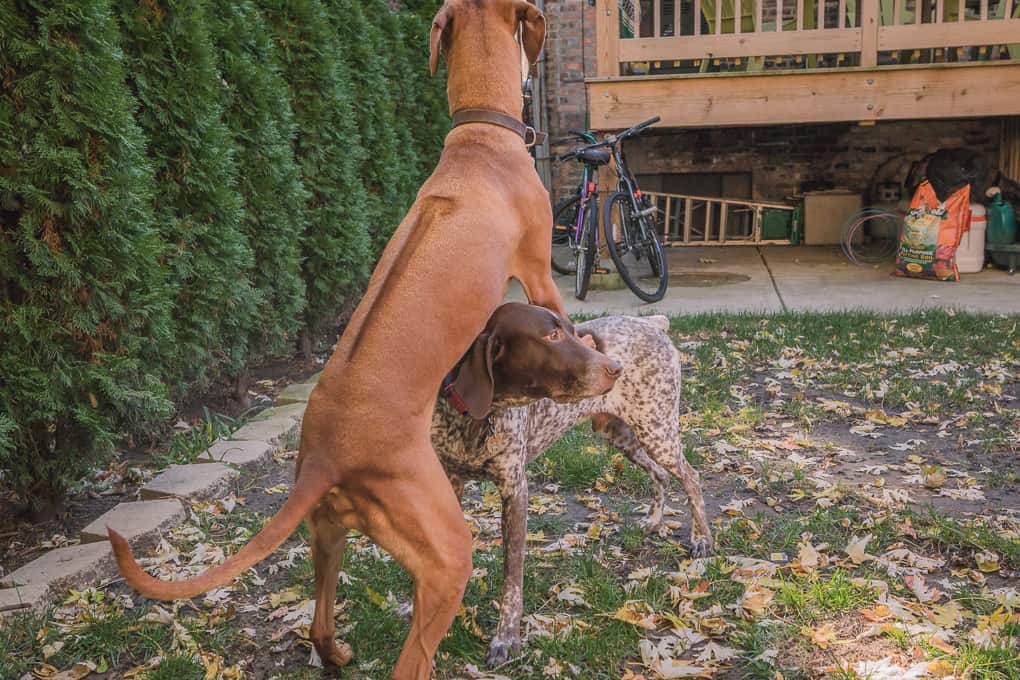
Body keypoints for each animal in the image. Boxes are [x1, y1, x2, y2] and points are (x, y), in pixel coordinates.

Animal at [107, 2, 612, 676]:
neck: (478, 136)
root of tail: (327, 454)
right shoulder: (537, 270)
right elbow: (567, 322)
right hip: (445, 548)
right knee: (412, 656)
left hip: (328, 530)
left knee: (319, 622)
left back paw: (336, 648)